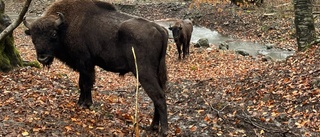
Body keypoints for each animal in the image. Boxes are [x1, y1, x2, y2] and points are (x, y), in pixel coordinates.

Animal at [23, 0, 169, 135]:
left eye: (53, 34)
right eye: (33, 37)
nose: (42, 58)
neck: (66, 26)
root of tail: (160, 29)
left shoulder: (86, 64)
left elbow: (86, 84)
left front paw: (86, 104)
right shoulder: (84, 67)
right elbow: (82, 84)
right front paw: (81, 102)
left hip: (144, 73)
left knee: (158, 97)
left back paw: (163, 131)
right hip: (158, 72)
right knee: (158, 96)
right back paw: (152, 127)